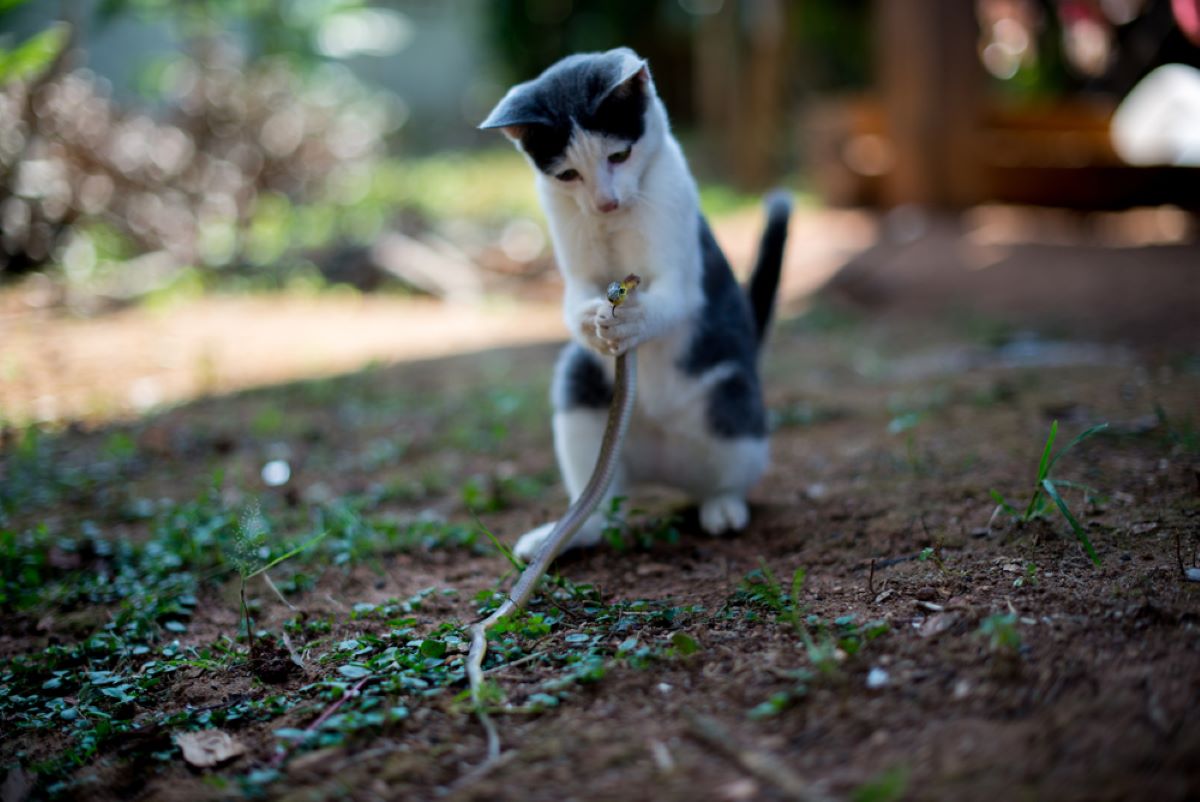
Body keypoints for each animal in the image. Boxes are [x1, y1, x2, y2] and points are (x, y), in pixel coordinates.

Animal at [477, 45, 787, 557]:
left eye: (619, 155)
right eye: (568, 174)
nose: (605, 202)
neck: (613, 223)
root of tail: (660, 470)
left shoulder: (678, 254)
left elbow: (672, 296)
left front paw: (632, 323)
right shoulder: (573, 255)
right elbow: (574, 297)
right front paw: (591, 318)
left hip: (731, 397)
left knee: (732, 472)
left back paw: (724, 507)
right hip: (581, 384)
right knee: (598, 499)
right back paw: (565, 534)